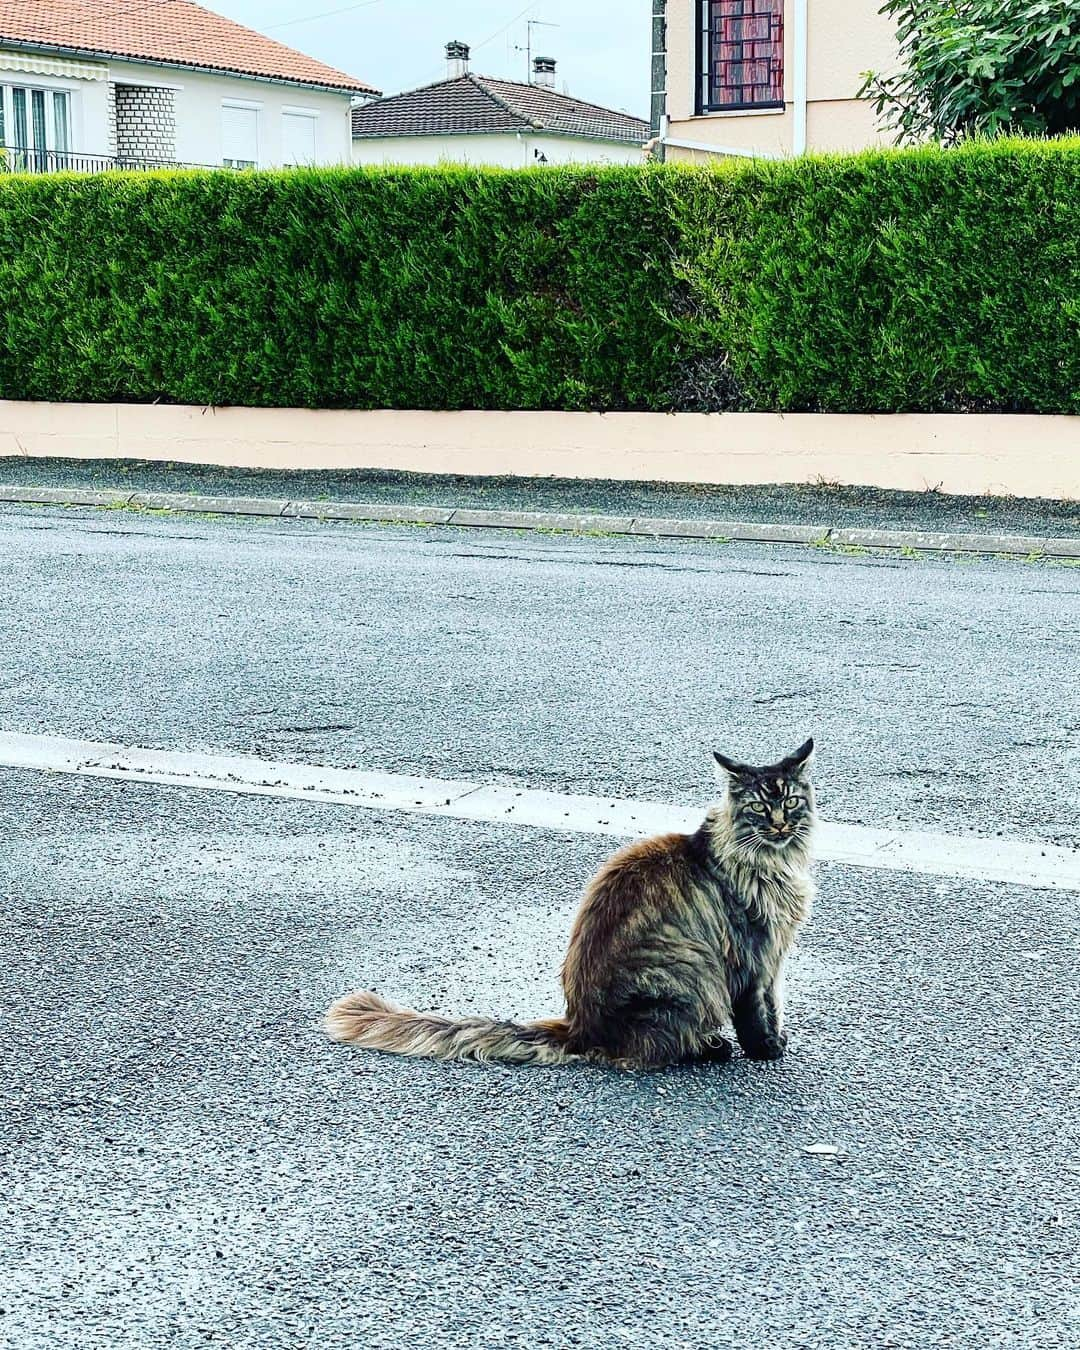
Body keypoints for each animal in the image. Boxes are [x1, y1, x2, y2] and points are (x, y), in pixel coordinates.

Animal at [325, 745, 815, 1069]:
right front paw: (768, 1049)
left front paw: (777, 1040)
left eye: (791, 801)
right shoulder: (756, 956)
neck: (771, 863)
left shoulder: (773, 958)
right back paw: (712, 1049)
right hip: (690, 977)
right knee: (655, 1050)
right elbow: (757, 1012)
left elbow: (774, 1003)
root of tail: (578, 1025)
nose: (780, 824)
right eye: (758, 808)